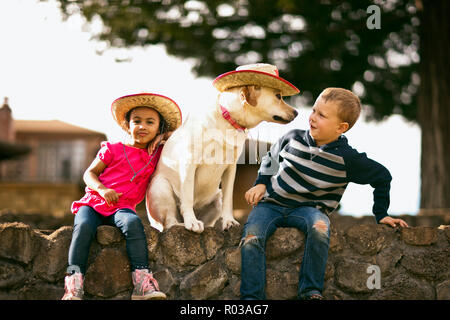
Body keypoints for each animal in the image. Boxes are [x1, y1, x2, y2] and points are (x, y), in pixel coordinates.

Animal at [146, 63, 298, 232]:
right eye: (278, 96)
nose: (296, 112)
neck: (228, 120)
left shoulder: (230, 168)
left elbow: (229, 199)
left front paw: (229, 221)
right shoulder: (189, 163)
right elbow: (187, 197)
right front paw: (191, 221)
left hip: (216, 198)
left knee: (209, 220)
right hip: (160, 187)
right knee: (169, 222)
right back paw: (181, 223)